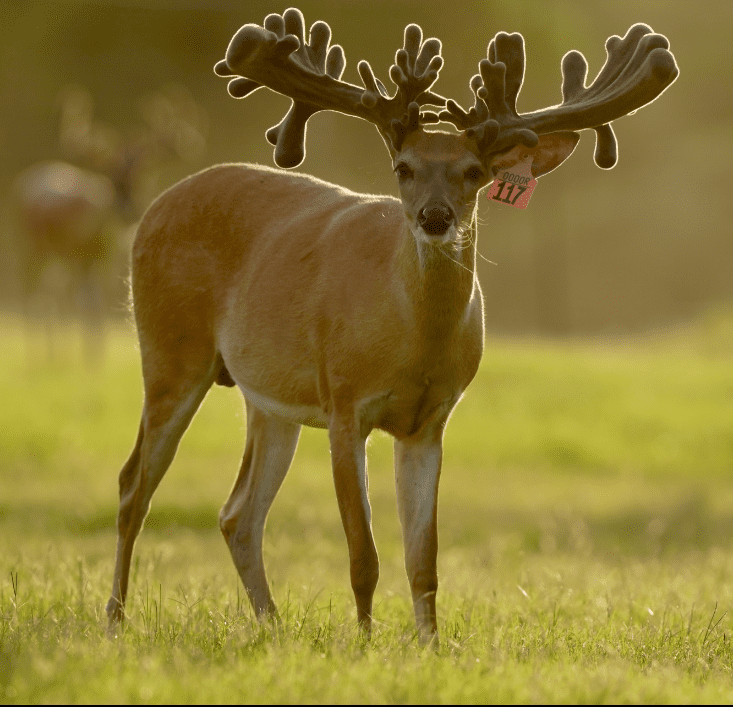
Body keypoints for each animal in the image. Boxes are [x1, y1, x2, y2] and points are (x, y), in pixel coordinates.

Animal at [106, 8, 677, 642]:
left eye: (474, 172)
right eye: (402, 168)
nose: (435, 217)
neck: (413, 343)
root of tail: (155, 206)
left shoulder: (430, 421)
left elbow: (422, 559)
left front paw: (431, 647)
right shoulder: (344, 402)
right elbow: (364, 554)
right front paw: (363, 643)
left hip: (268, 400)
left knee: (238, 513)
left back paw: (273, 628)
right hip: (170, 351)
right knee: (133, 486)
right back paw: (116, 621)